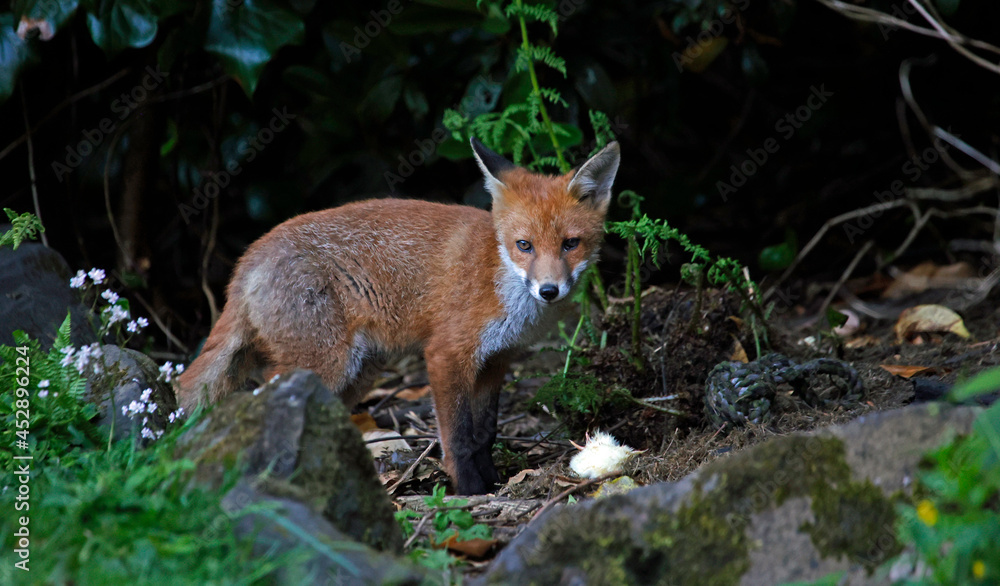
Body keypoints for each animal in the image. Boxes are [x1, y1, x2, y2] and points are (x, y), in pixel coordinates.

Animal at [177, 137, 620, 494]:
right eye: (524, 245)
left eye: (570, 244)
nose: (549, 290)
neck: (500, 274)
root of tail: (247, 258)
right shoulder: (446, 354)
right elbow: (458, 437)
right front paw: (470, 490)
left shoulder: (496, 360)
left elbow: (485, 433)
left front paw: (493, 481)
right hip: (328, 362)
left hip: (359, 371)